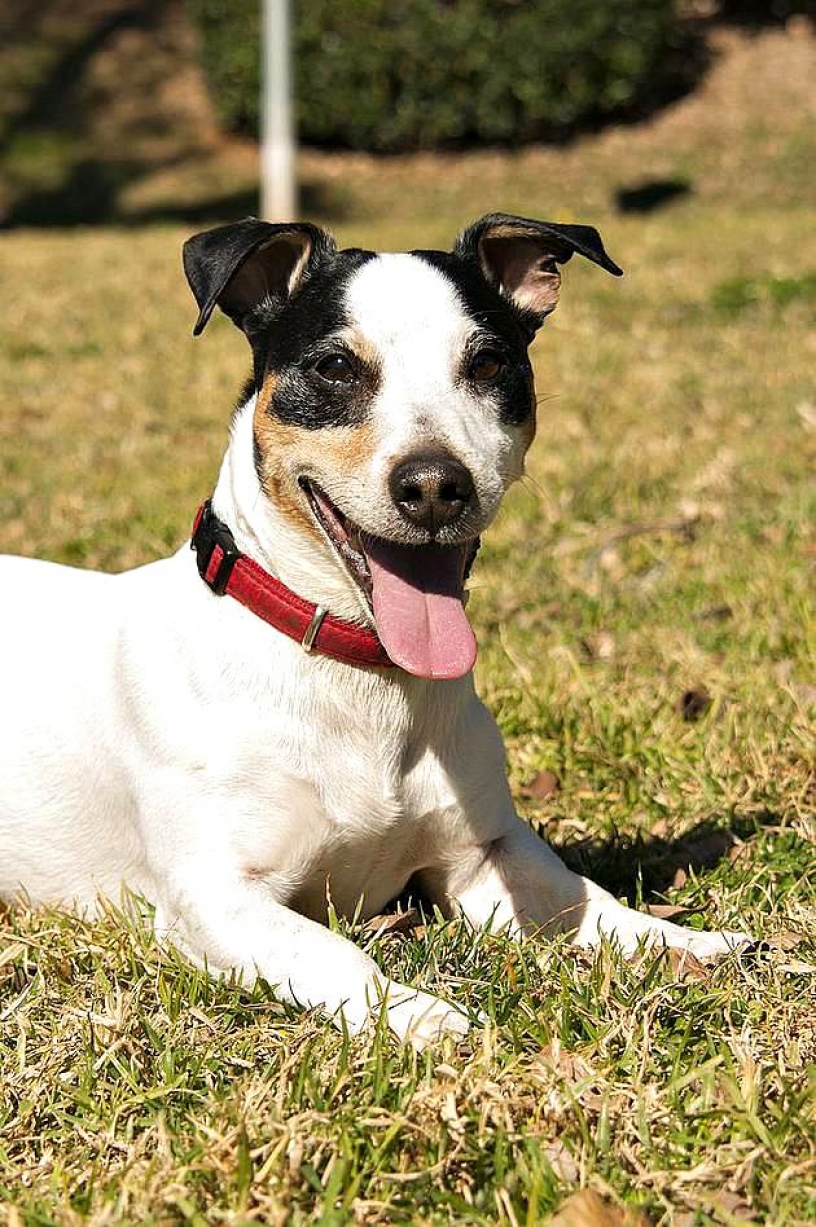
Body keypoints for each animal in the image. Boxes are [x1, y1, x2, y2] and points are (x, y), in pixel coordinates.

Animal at [1, 211, 750, 1045]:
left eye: (489, 362)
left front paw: (680, 938)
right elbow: (334, 951)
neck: (360, 675)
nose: (433, 485)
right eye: (334, 367)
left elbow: (580, 897)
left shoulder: (482, 851)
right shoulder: (214, 897)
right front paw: (425, 1015)